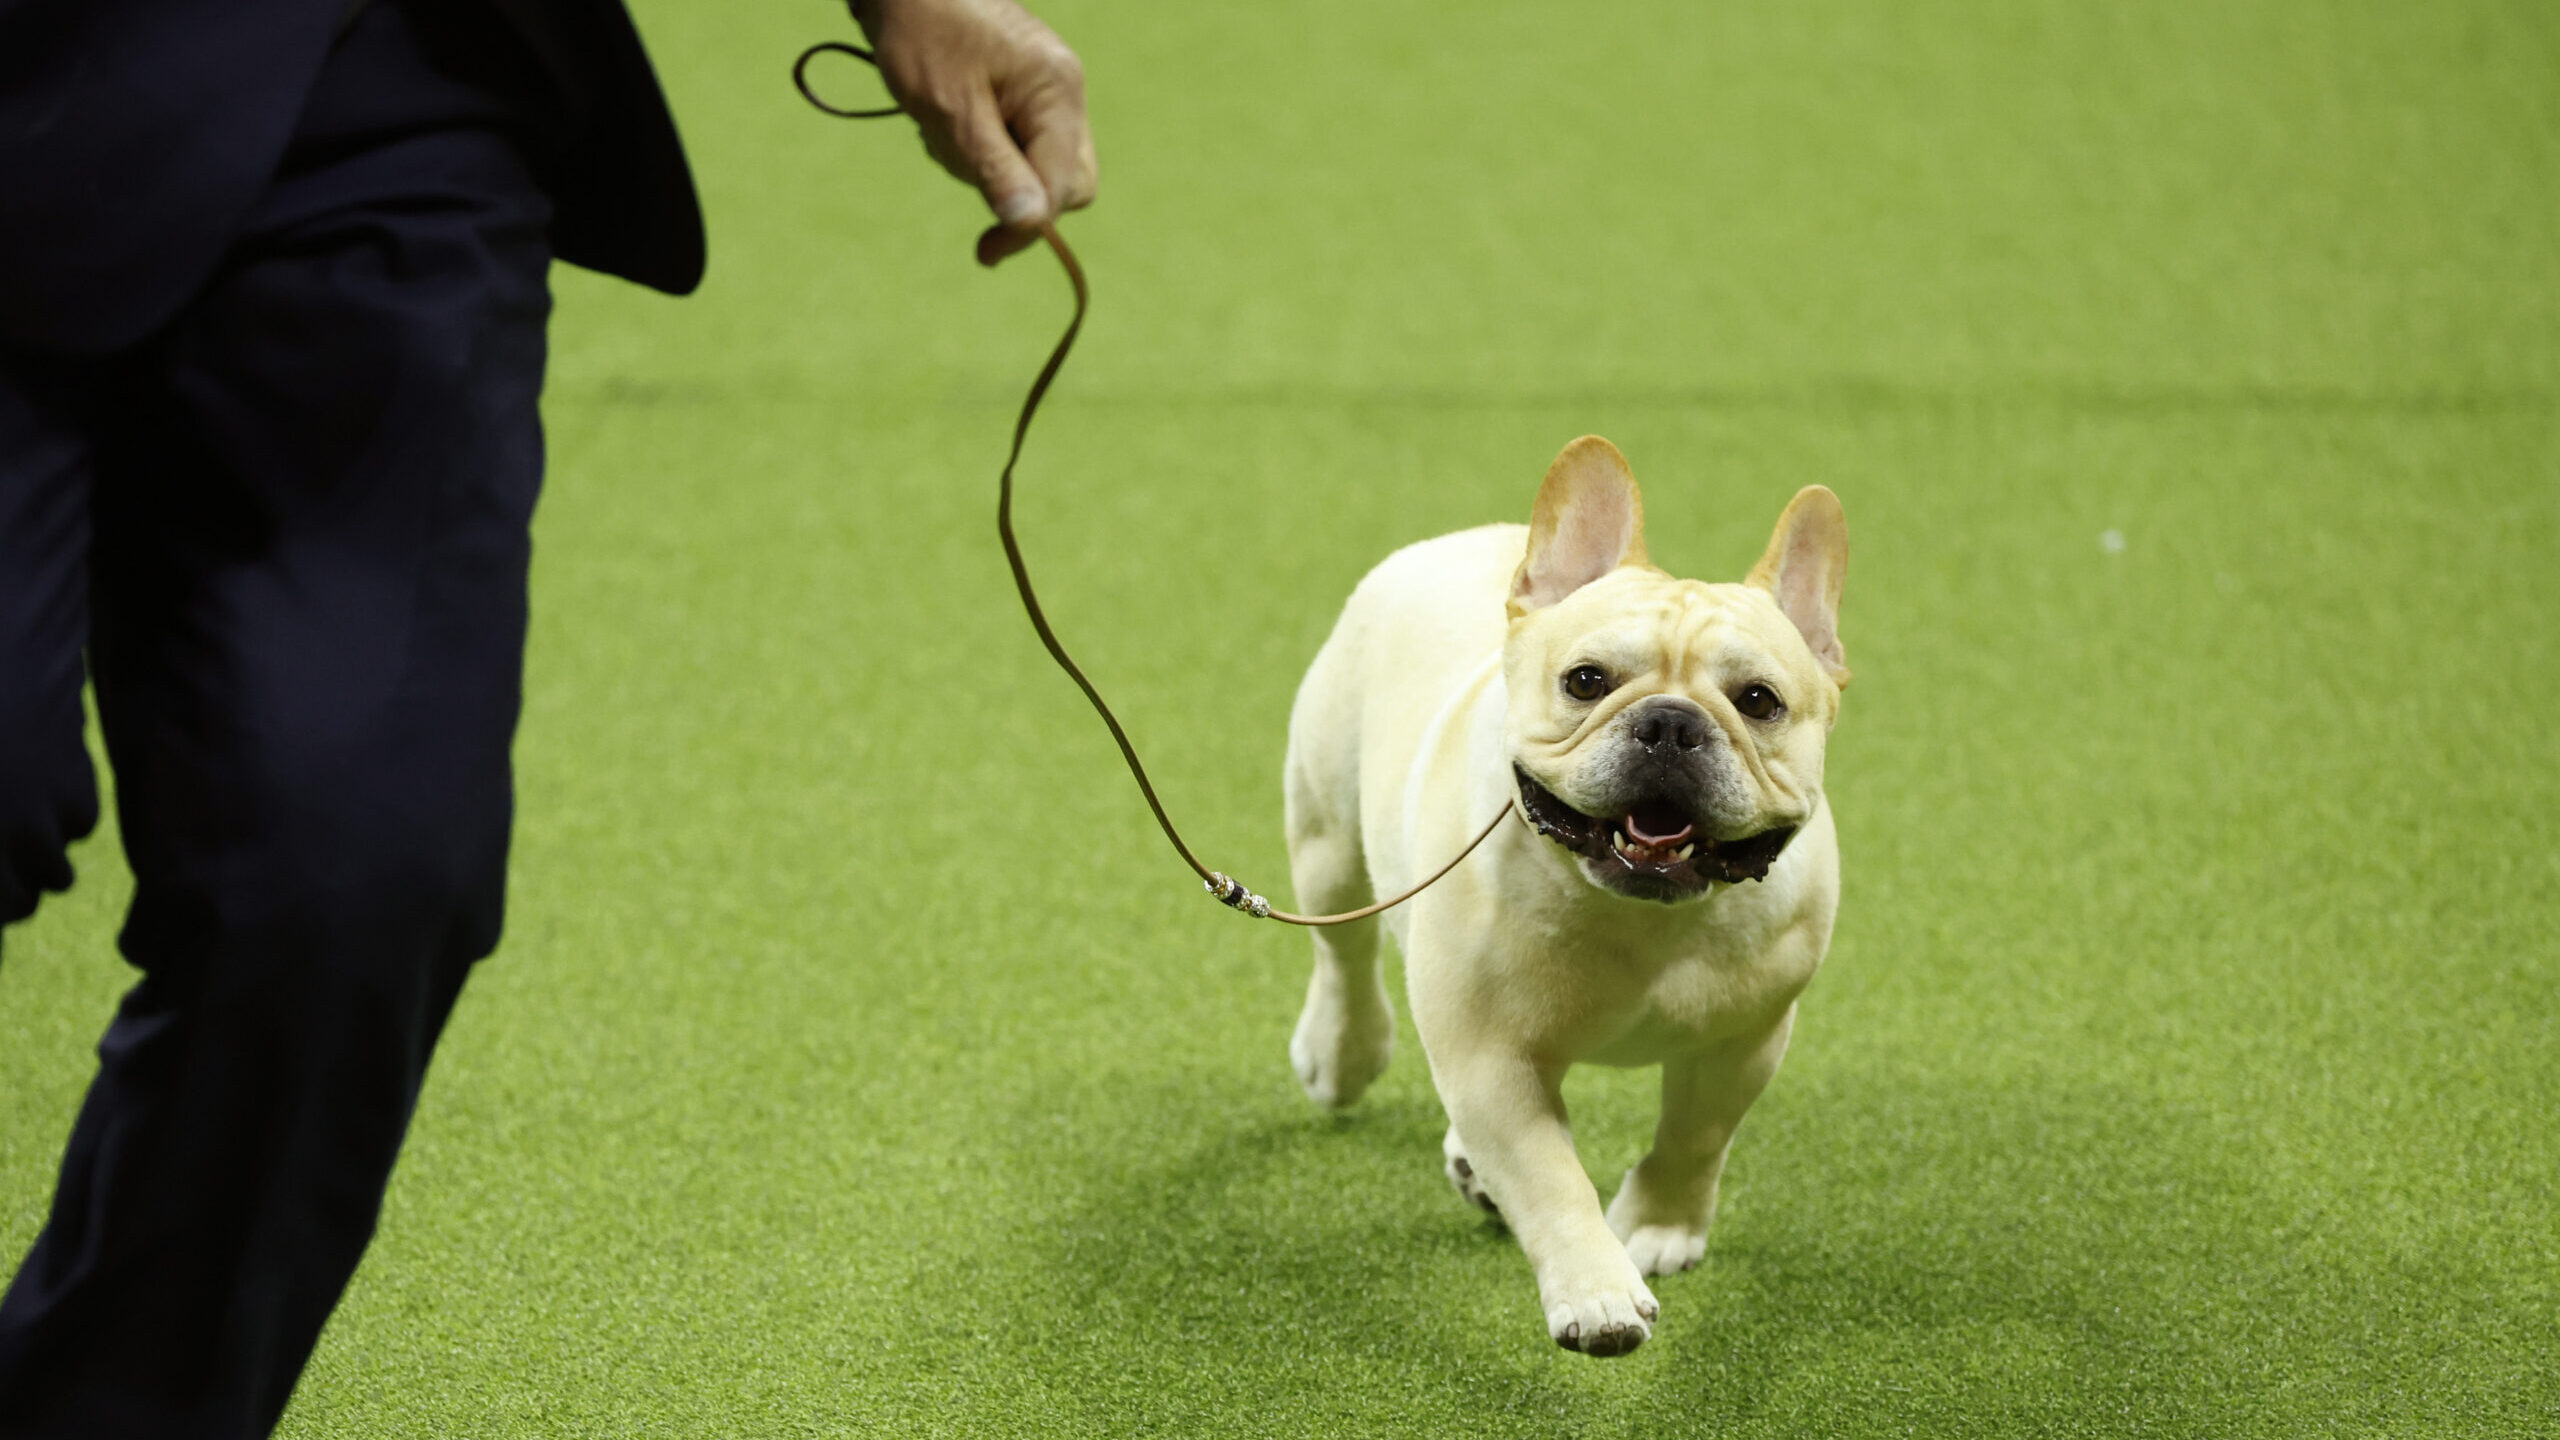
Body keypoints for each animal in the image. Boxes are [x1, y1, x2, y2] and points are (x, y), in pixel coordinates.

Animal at [1274, 430, 1843, 1352]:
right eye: (1585, 682)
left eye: (1759, 701)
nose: (1671, 723)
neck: (1643, 913)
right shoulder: (1491, 1058)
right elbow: (1548, 1176)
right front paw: (1596, 1293)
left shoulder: (1743, 1041)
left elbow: (1697, 1133)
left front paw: (1660, 1225)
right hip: (1326, 834)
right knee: (1343, 945)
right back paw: (1341, 1049)